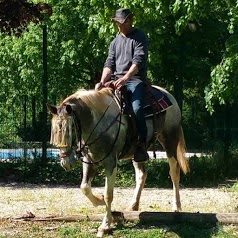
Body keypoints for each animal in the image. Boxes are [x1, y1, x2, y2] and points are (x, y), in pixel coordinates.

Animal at [48, 85, 190, 236]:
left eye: (71, 129)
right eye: (54, 131)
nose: (66, 163)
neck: (98, 122)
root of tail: (168, 95)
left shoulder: (111, 162)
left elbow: (108, 194)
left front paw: (105, 225)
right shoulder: (89, 160)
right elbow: (85, 187)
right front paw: (99, 201)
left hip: (170, 141)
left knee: (174, 172)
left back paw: (177, 206)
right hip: (138, 153)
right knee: (141, 175)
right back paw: (133, 206)